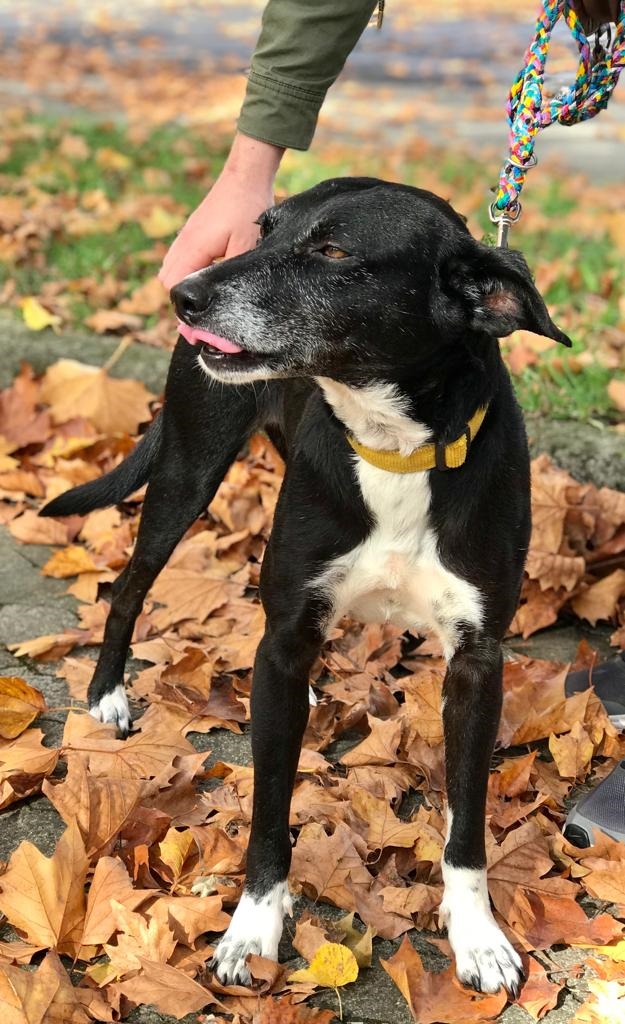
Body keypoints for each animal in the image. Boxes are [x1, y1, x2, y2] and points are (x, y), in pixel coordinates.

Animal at [43, 177, 571, 996]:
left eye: (333, 250)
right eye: (266, 229)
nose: (183, 294)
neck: (393, 447)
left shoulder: (478, 661)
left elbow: (468, 821)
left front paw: (478, 937)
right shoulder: (287, 633)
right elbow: (267, 808)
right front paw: (252, 929)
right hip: (188, 471)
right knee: (128, 587)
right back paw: (107, 696)